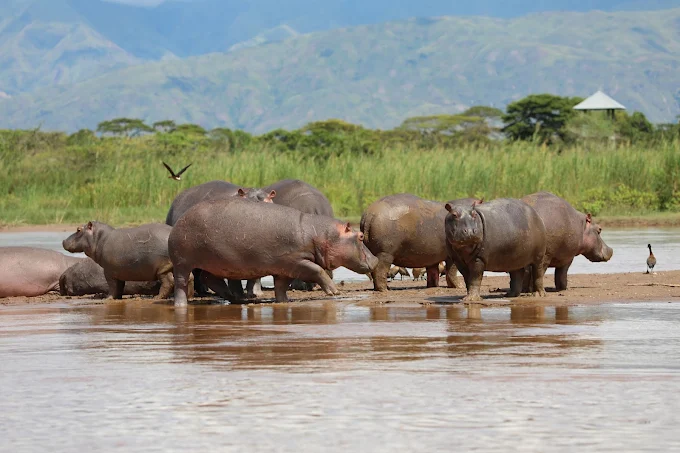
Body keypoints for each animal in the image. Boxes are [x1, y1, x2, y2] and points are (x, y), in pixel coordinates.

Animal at [168, 197, 378, 306]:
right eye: (361, 236)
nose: (376, 260)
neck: (320, 234)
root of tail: (181, 219)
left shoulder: (284, 267)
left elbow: (281, 286)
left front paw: (284, 302)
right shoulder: (296, 261)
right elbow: (317, 270)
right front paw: (334, 292)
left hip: (215, 262)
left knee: (209, 278)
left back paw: (237, 299)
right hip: (182, 261)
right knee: (182, 282)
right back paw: (181, 305)